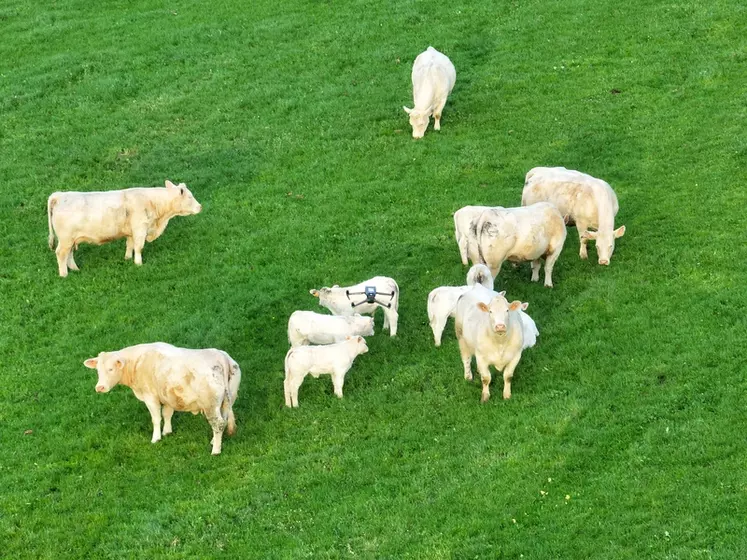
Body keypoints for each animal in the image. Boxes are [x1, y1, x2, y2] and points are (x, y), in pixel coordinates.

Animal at [46, 182, 202, 278]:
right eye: (190, 196)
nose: (200, 207)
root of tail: (59, 195)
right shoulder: (140, 228)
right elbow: (139, 247)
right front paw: (139, 264)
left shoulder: (131, 231)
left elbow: (130, 244)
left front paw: (127, 259)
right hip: (65, 239)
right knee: (61, 253)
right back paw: (64, 275)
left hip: (71, 239)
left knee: (69, 254)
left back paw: (75, 269)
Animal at [84, 342, 243, 456]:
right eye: (98, 371)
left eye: (111, 369)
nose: (100, 387)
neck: (138, 362)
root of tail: (219, 356)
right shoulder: (167, 396)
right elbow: (167, 414)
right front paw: (167, 431)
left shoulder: (150, 397)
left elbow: (156, 418)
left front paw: (156, 438)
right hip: (227, 399)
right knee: (225, 418)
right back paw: (215, 440)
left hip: (210, 405)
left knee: (218, 423)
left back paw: (216, 450)